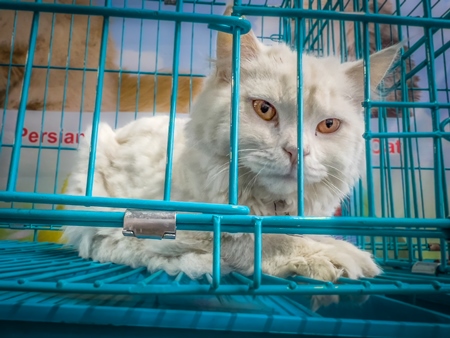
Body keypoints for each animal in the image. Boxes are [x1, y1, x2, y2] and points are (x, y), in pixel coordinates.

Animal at [61, 8, 400, 282]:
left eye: (328, 125)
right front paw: (330, 257)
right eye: (265, 109)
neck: (269, 206)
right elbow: (261, 241)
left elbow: (304, 234)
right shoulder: (184, 225)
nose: (296, 152)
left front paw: (349, 251)